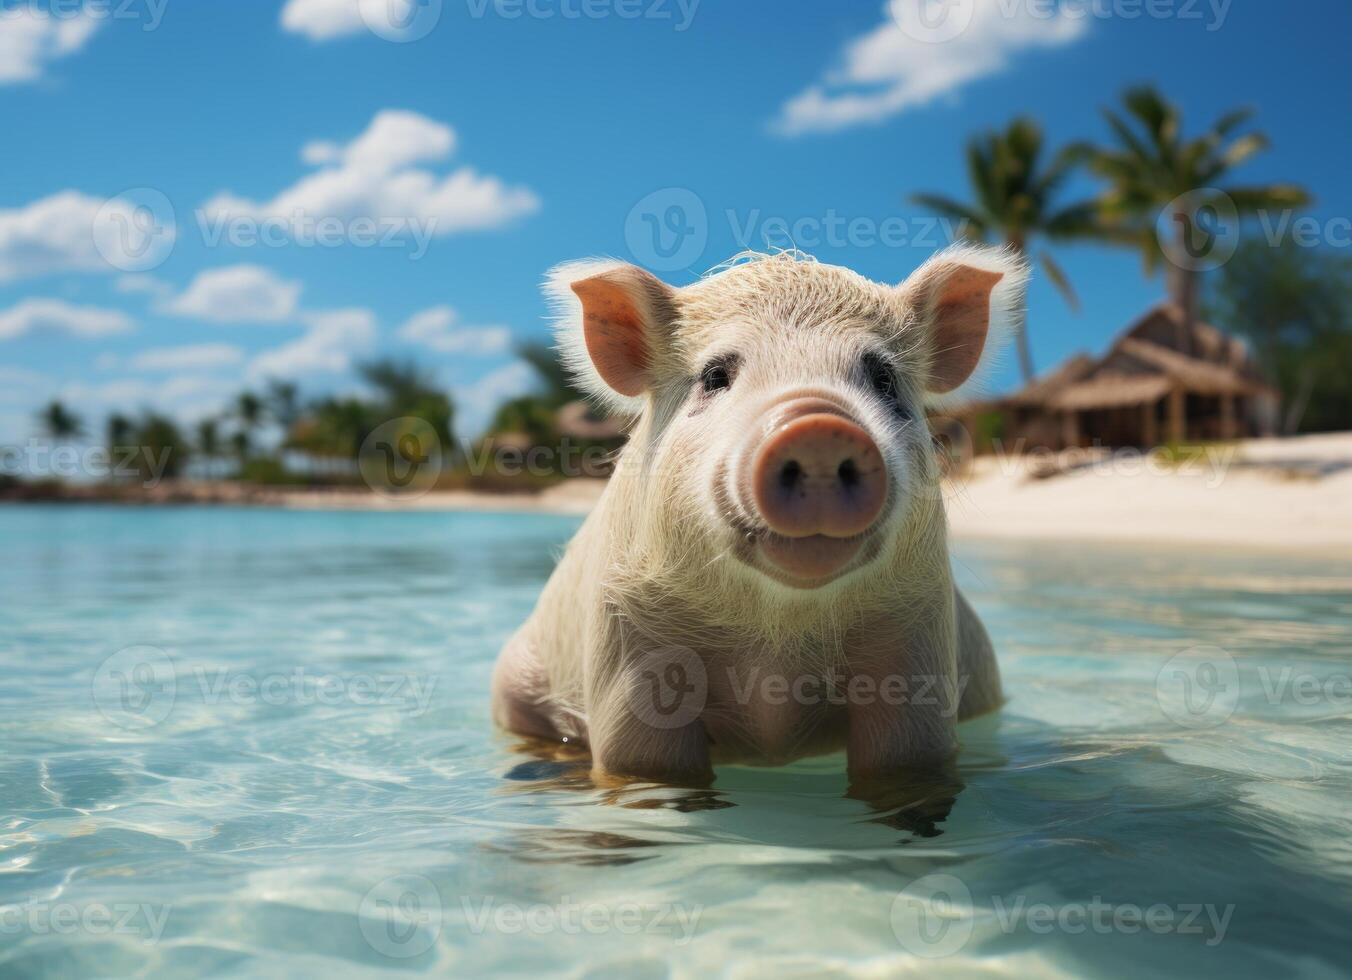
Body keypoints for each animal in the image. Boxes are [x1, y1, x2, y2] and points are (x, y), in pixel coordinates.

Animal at [492, 244, 1027, 794]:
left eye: (883, 378)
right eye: (715, 376)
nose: (817, 428)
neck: (776, 644)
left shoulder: (916, 625)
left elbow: (905, 760)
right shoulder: (626, 630)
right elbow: (642, 763)